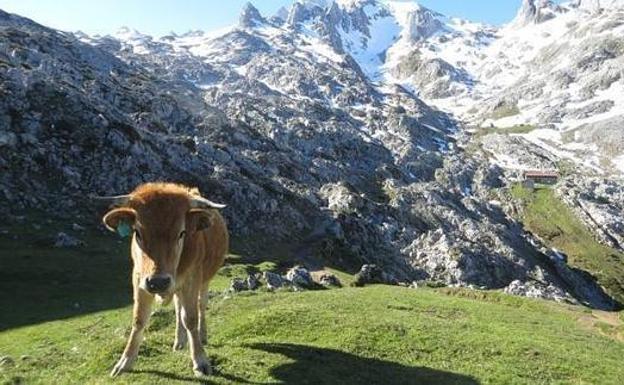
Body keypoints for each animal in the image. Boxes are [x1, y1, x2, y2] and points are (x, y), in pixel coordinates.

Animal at [101, 182, 228, 376]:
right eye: (137, 233)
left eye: (182, 233)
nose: (158, 282)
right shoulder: (139, 278)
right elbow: (139, 319)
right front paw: (125, 362)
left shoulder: (192, 278)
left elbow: (191, 318)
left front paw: (200, 360)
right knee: (178, 309)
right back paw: (179, 341)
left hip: (204, 280)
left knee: (200, 305)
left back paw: (202, 335)